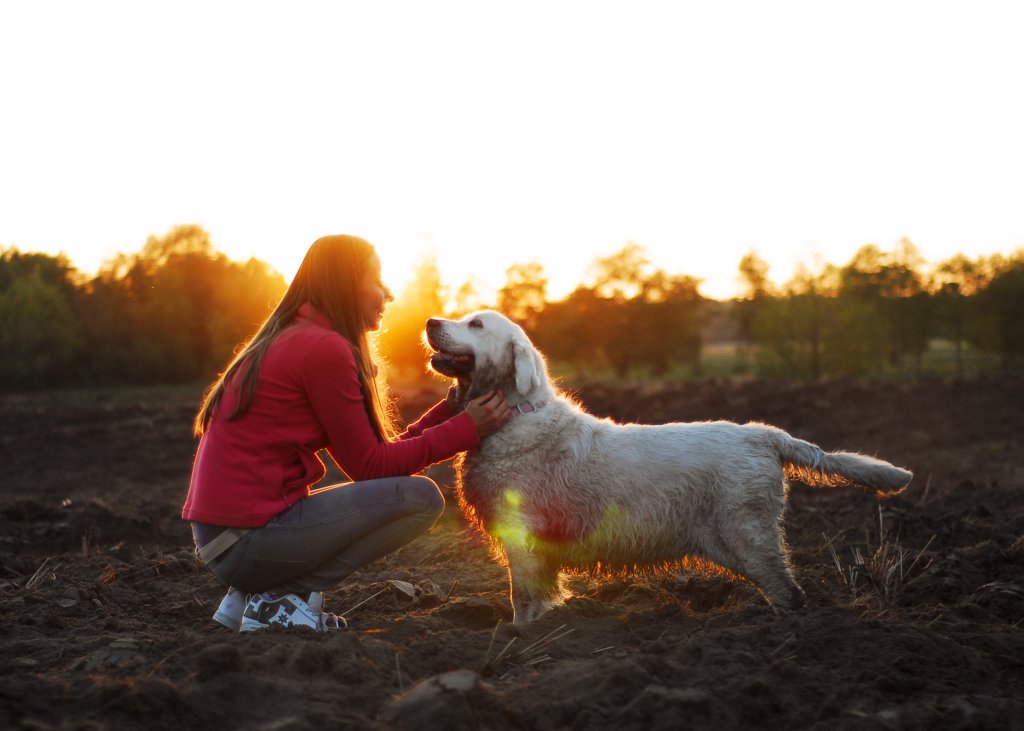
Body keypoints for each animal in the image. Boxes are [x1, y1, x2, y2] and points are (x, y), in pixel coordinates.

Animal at [423, 307, 913, 622]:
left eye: (475, 323)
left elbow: (522, 599)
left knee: (790, 592)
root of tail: (762, 433)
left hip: (747, 536)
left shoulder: (520, 536)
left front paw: (520, 638)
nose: (428, 321)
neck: (515, 415)